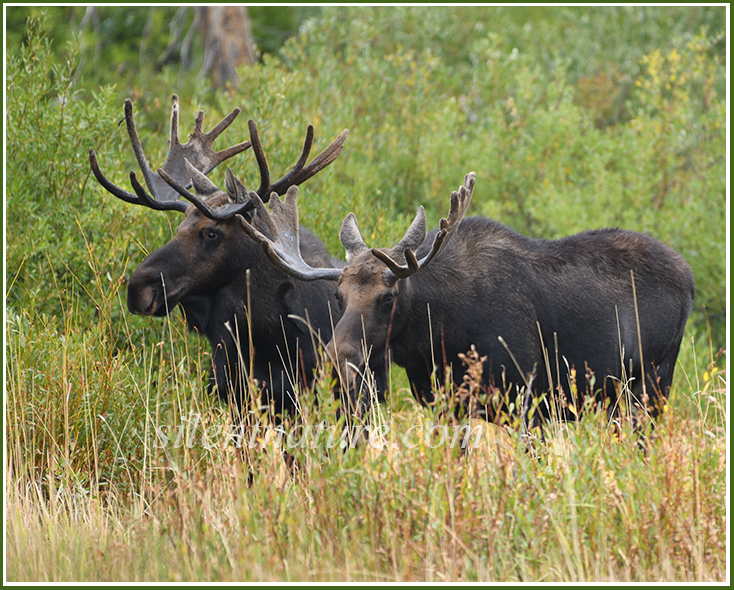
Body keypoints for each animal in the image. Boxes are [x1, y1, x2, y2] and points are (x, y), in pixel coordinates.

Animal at [236, 172, 695, 435]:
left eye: (388, 296)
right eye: (339, 295)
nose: (338, 355)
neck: (435, 337)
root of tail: (690, 279)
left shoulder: (527, 400)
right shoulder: (447, 407)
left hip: (652, 384)